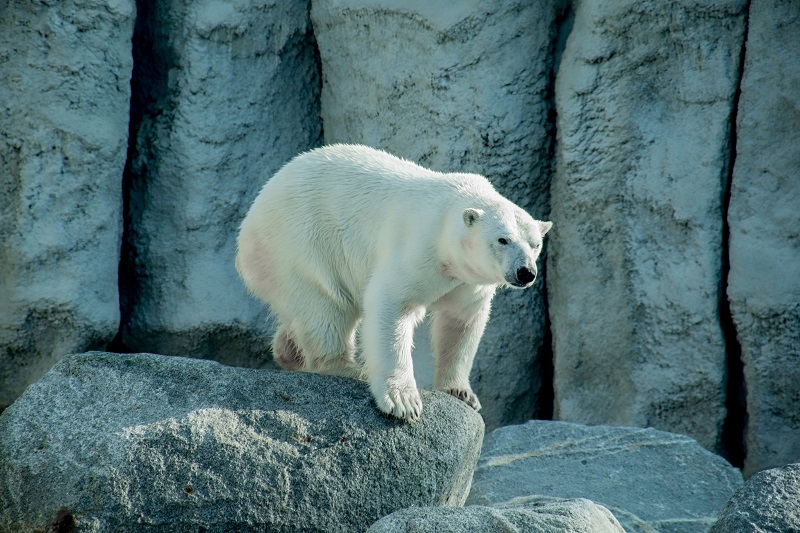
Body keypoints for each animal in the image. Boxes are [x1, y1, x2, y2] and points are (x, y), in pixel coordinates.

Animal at [234, 145, 552, 420]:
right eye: (503, 239)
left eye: (535, 244)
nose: (526, 272)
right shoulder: (420, 248)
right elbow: (391, 304)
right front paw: (403, 401)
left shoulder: (467, 281)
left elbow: (462, 322)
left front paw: (461, 392)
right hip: (302, 244)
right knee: (325, 306)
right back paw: (349, 367)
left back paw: (288, 353)